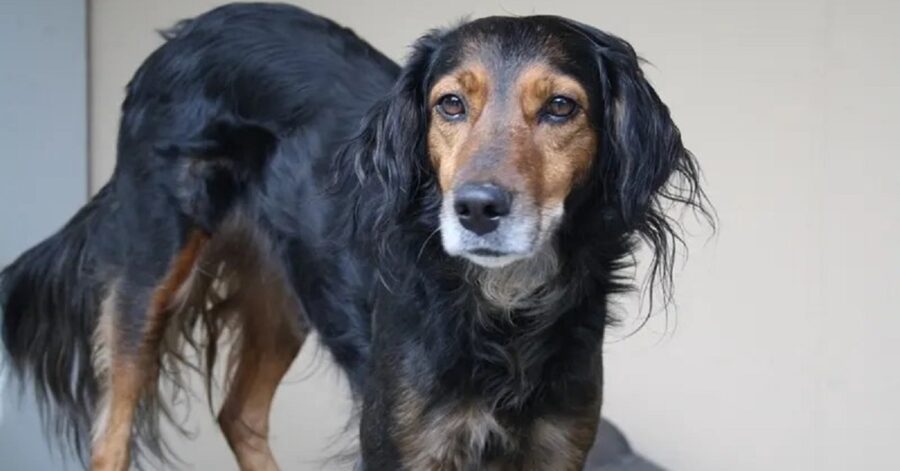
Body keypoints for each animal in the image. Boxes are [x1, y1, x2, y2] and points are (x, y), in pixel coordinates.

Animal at [0, 1, 712, 470]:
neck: (501, 309)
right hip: (152, 270)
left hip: (288, 289)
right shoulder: (402, 443)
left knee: (239, 413)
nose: (477, 209)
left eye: (561, 107)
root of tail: (181, 34)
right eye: (450, 104)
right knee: (111, 435)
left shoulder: (558, 446)